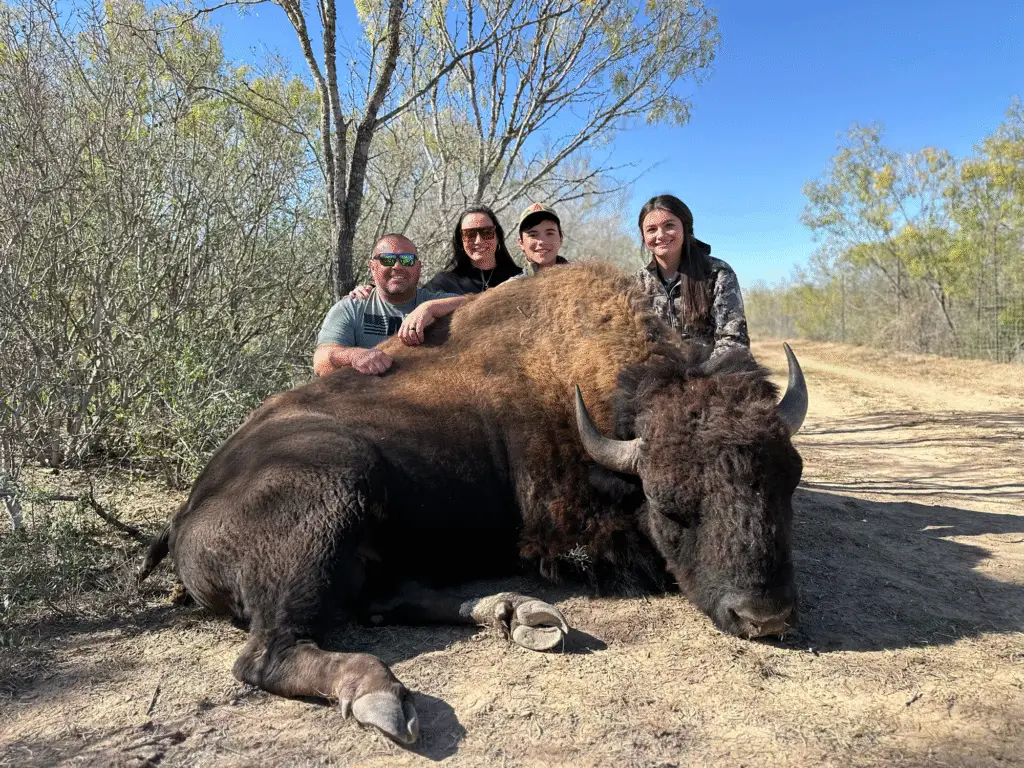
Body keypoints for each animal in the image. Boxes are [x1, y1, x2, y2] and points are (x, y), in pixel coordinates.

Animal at [140, 262, 807, 744]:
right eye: (670, 507)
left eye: (788, 482)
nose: (764, 616)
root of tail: (186, 512)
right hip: (331, 489)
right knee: (269, 653)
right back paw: (385, 697)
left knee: (386, 601)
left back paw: (518, 615)